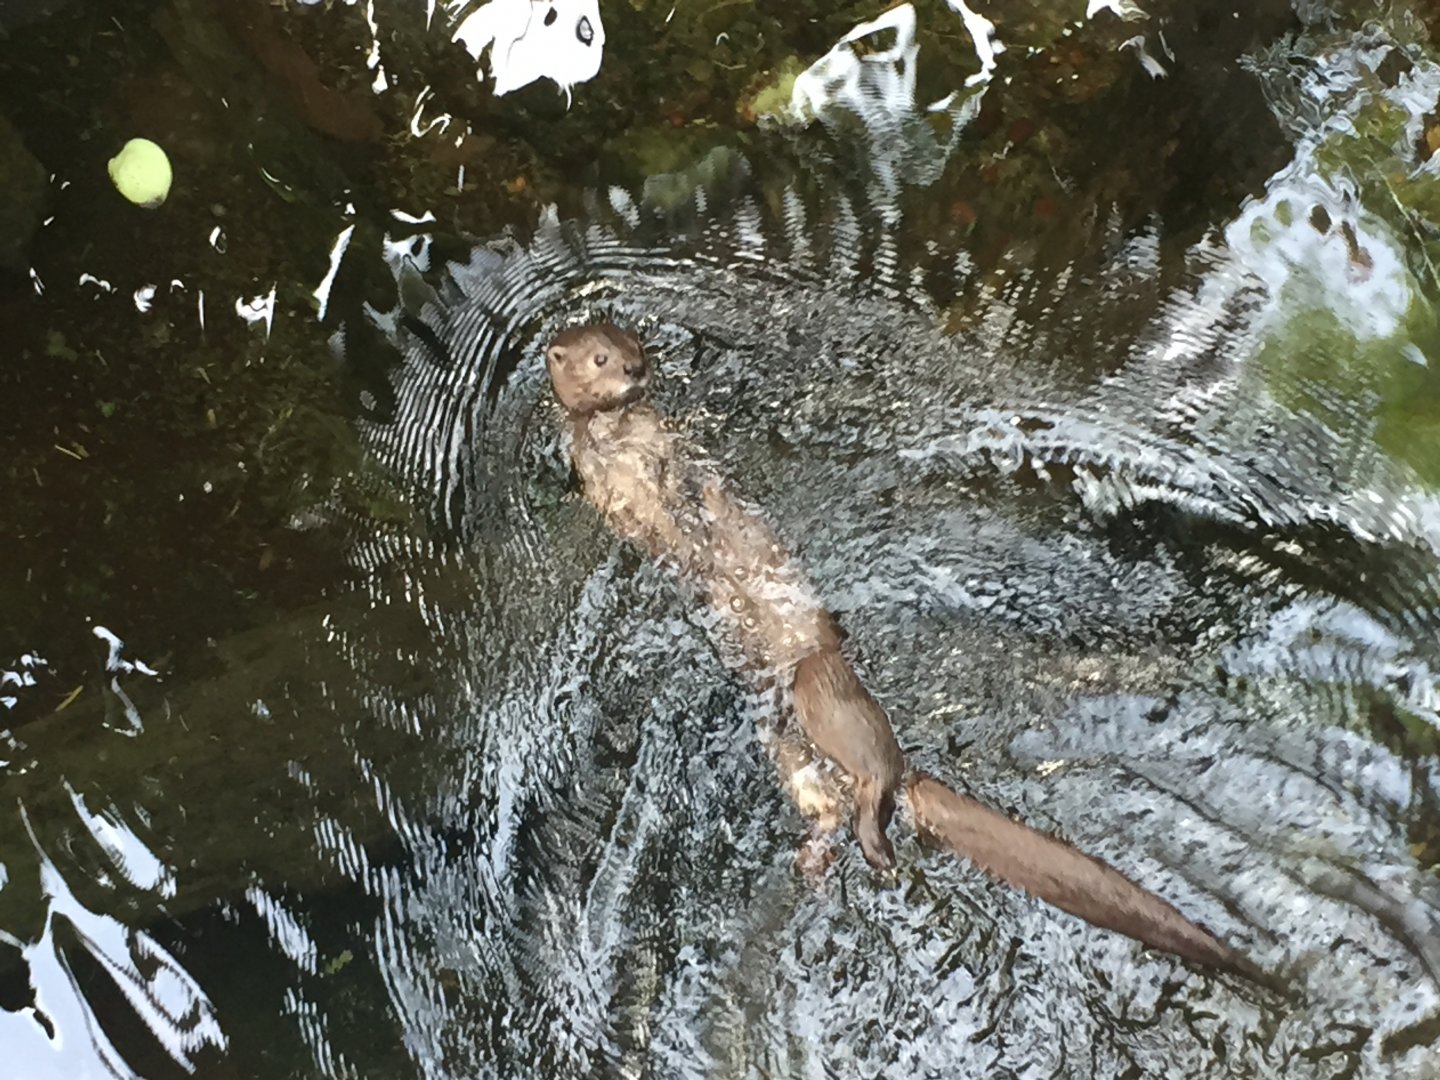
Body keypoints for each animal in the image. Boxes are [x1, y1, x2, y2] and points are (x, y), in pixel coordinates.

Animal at [546, 321, 1269, 982]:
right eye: (600, 357)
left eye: (632, 346)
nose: (635, 369)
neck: (624, 443)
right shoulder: (603, 478)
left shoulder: (670, 448)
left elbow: (693, 484)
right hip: (789, 749)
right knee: (836, 806)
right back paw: (823, 859)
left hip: (818, 688)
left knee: (875, 780)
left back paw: (874, 850)